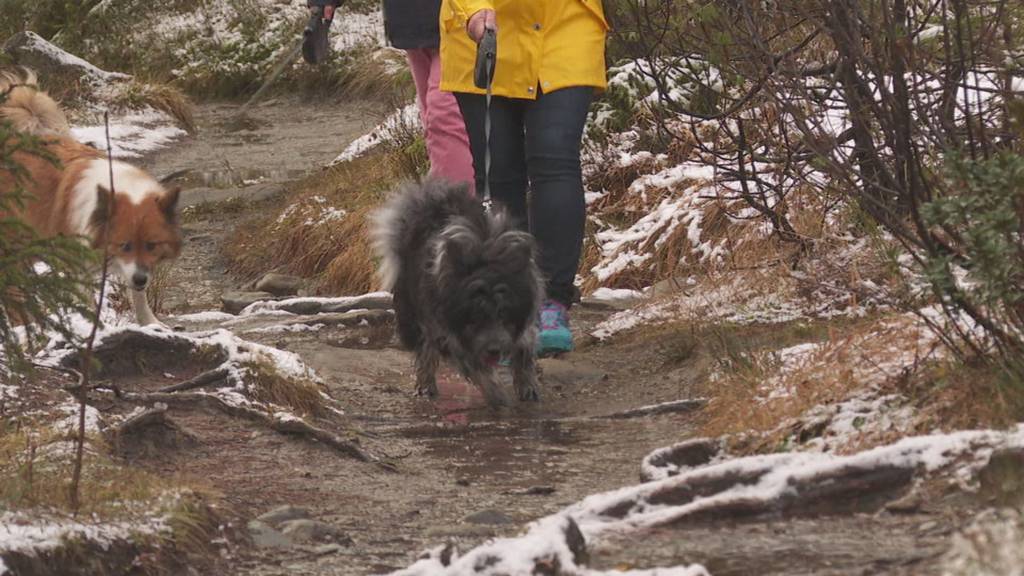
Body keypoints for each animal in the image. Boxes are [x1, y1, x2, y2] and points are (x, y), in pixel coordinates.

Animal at [0, 67, 180, 323]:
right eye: (124, 244)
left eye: (151, 245)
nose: (141, 279)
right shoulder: (79, 268)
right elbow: (88, 303)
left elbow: (139, 296)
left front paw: (150, 323)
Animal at [370, 179, 544, 403]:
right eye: (476, 316)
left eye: (503, 313)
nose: (494, 351)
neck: (485, 266)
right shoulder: (447, 328)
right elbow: (473, 363)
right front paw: (496, 391)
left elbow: (524, 348)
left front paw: (528, 385)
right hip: (414, 312)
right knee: (425, 349)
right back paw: (426, 385)